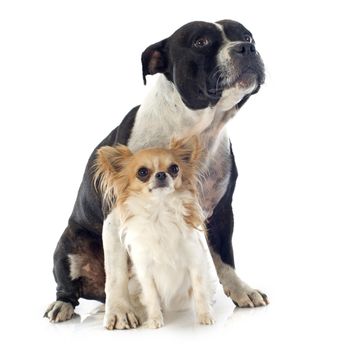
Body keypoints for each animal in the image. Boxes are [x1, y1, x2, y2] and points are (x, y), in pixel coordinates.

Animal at [93, 137, 213, 328]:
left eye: (174, 168)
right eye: (142, 172)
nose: (161, 174)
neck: (159, 211)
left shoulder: (195, 261)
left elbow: (200, 290)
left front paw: (205, 316)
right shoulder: (145, 270)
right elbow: (151, 296)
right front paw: (155, 320)